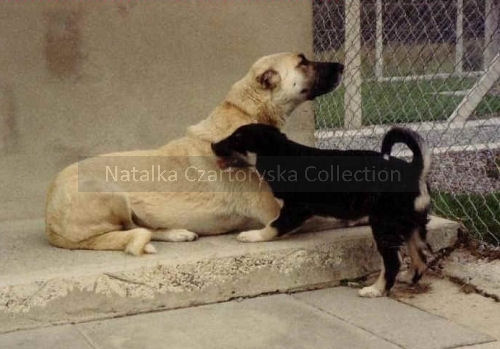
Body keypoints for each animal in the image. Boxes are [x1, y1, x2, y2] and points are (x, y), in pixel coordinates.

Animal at [46, 52, 344, 253]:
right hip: (109, 191)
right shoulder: (276, 211)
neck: (244, 115)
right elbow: (335, 216)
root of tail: (49, 219)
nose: (342, 66)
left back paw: (177, 233)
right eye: (302, 62)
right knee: (128, 231)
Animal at [213, 123, 432, 294]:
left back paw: (376, 290)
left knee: (393, 261)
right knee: (421, 257)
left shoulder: (296, 209)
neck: (283, 153)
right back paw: (408, 278)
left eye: (237, 138)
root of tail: (415, 170)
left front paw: (252, 235)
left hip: (383, 223)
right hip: (412, 225)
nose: (212, 145)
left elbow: (273, 226)